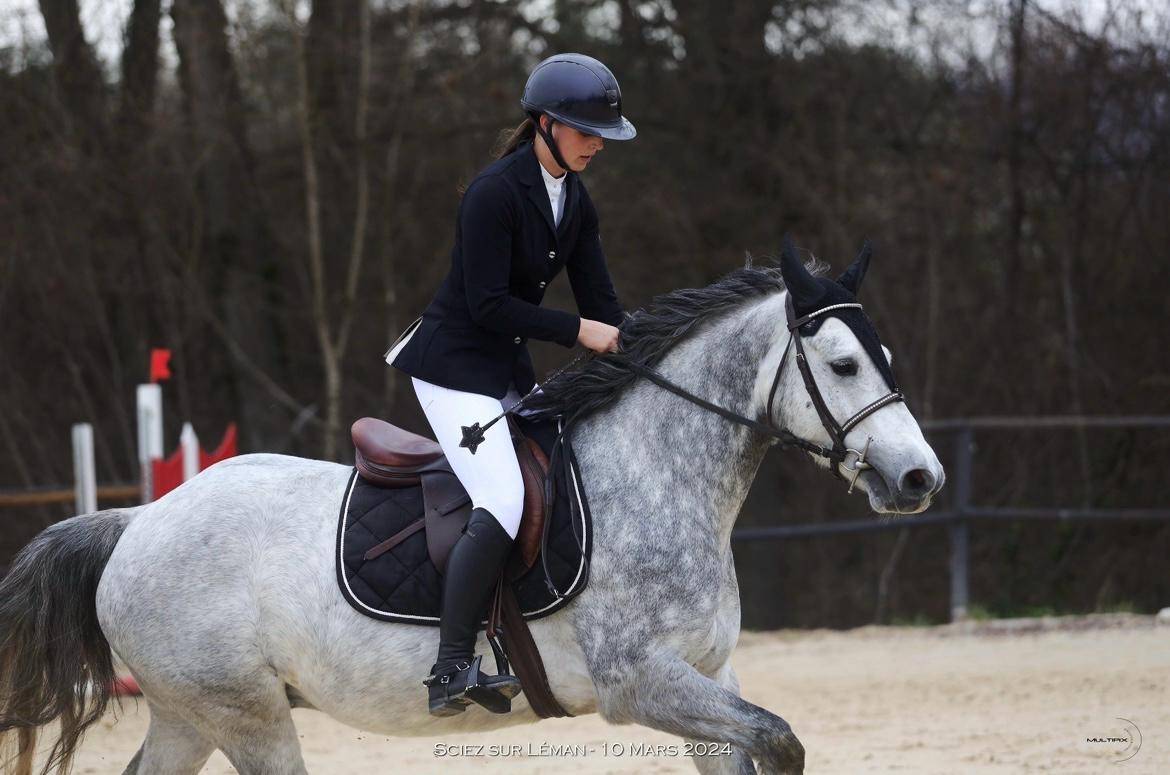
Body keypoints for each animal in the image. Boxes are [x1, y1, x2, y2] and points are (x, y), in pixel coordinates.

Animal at [0, 241, 944, 775]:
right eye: (844, 364)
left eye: (888, 356)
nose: (919, 479)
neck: (659, 475)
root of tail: (136, 522)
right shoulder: (640, 683)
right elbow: (779, 740)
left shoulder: (710, 677)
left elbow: (761, 743)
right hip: (244, 711)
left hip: (188, 713)